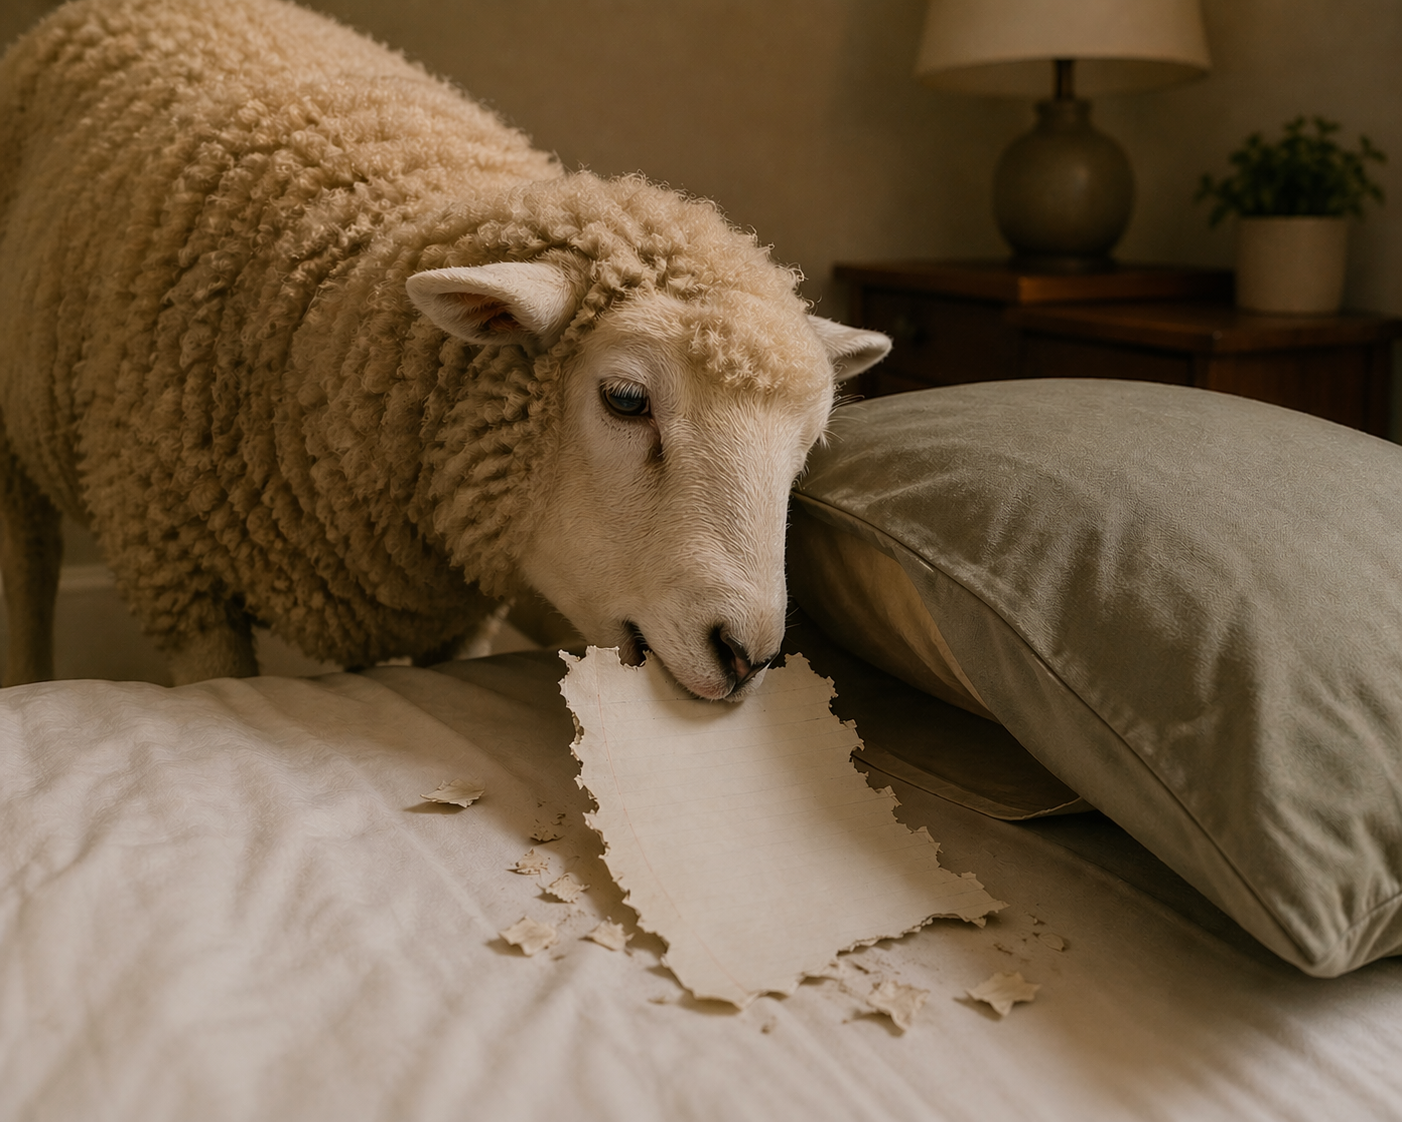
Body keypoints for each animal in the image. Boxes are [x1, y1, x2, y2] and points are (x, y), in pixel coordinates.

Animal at [0, 0, 889, 699]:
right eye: (626, 400)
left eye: (808, 447)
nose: (746, 656)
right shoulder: (184, 583)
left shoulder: (450, 619)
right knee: (28, 568)